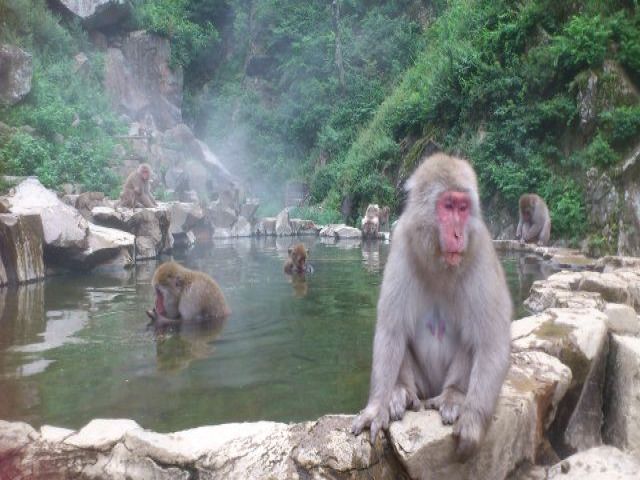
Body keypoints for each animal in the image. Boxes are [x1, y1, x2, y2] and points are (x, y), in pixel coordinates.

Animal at [351, 153, 512, 461]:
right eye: (447, 206)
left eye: (463, 208)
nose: (459, 235)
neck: (439, 262)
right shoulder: (401, 245)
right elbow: (391, 330)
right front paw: (376, 407)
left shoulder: (481, 252)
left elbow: (491, 342)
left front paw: (472, 422)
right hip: (423, 385)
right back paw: (400, 392)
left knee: (472, 339)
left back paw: (453, 395)